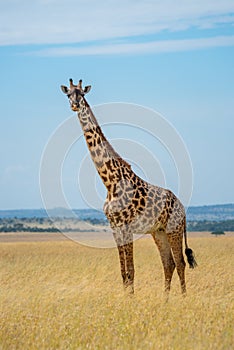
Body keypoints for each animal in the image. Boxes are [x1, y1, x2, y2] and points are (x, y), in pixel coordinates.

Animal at [59, 78, 196, 296]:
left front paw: (130, 299)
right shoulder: (114, 226)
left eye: (82, 93)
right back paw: (165, 299)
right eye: (68, 94)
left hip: (173, 229)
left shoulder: (126, 226)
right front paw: (126, 298)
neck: (109, 182)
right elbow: (123, 272)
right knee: (169, 263)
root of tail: (183, 209)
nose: (74, 104)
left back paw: (182, 298)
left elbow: (131, 270)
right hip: (159, 232)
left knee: (180, 262)